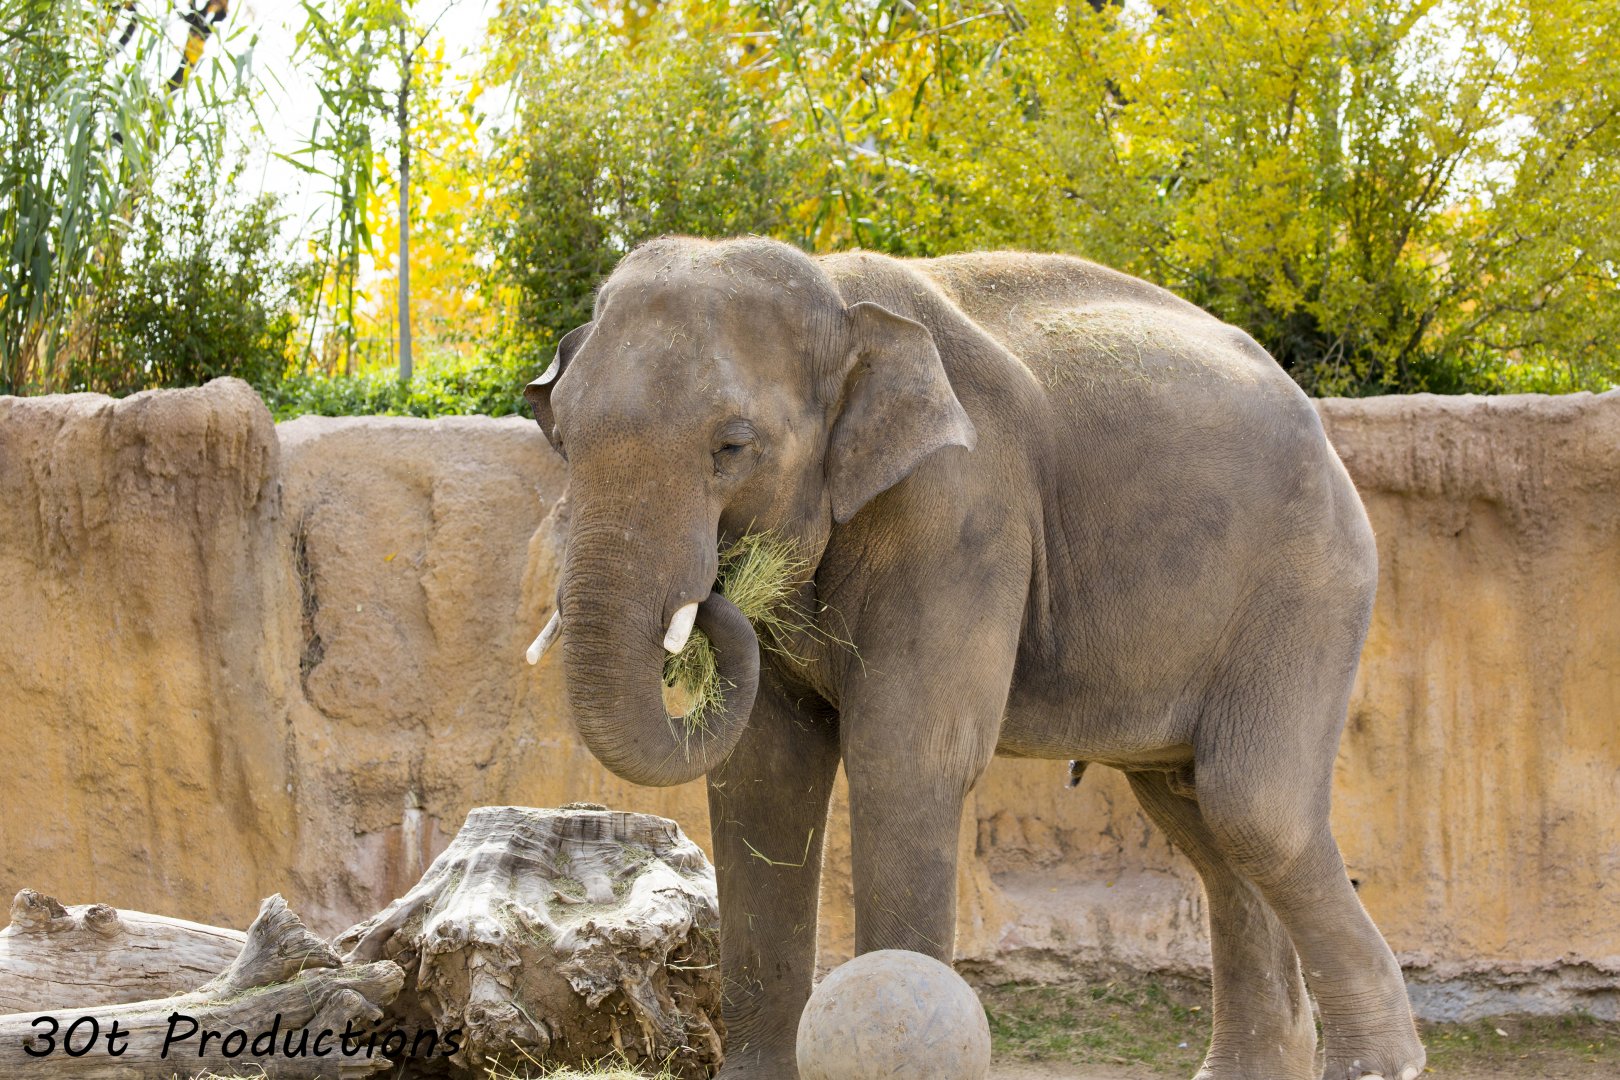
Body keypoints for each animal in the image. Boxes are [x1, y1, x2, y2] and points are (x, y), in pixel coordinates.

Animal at [522, 235, 1424, 1080]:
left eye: (733, 446)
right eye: (562, 439)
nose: (715, 590)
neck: (840, 300)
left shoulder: (963, 508)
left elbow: (905, 757)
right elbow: (763, 775)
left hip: (1308, 588)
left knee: (1251, 807)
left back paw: (1380, 1066)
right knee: (1197, 818)